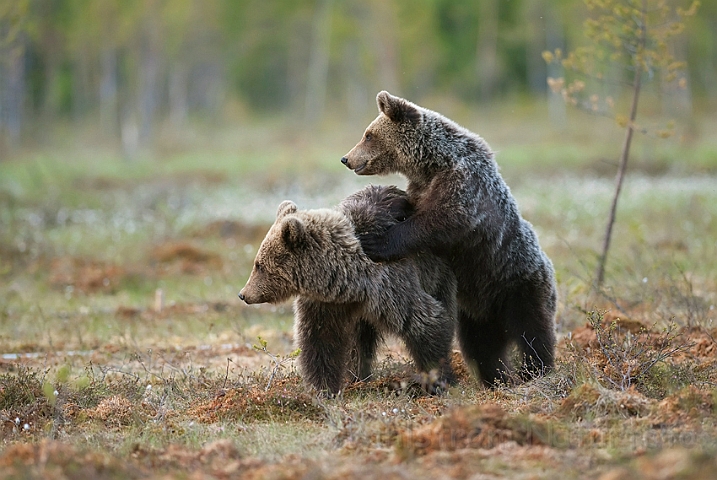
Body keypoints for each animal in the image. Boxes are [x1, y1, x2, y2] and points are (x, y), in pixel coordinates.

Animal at [238, 184, 456, 394]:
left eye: (259, 265)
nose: (243, 294)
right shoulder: (324, 304)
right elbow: (320, 341)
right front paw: (323, 389)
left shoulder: (391, 285)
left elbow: (425, 322)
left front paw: (439, 380)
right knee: (359, 341)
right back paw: (357, 377)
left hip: (437, 270)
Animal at [342, 92, 560, 388]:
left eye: (368, 135)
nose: (346, 159)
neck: (432, 164)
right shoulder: (420, 189)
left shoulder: (465, 186)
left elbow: (441, 221)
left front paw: (377, 242)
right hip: (476, 310)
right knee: (482, 346)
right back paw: (495, 377)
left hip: (518, 285)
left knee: (533, 330)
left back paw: (536, 370)